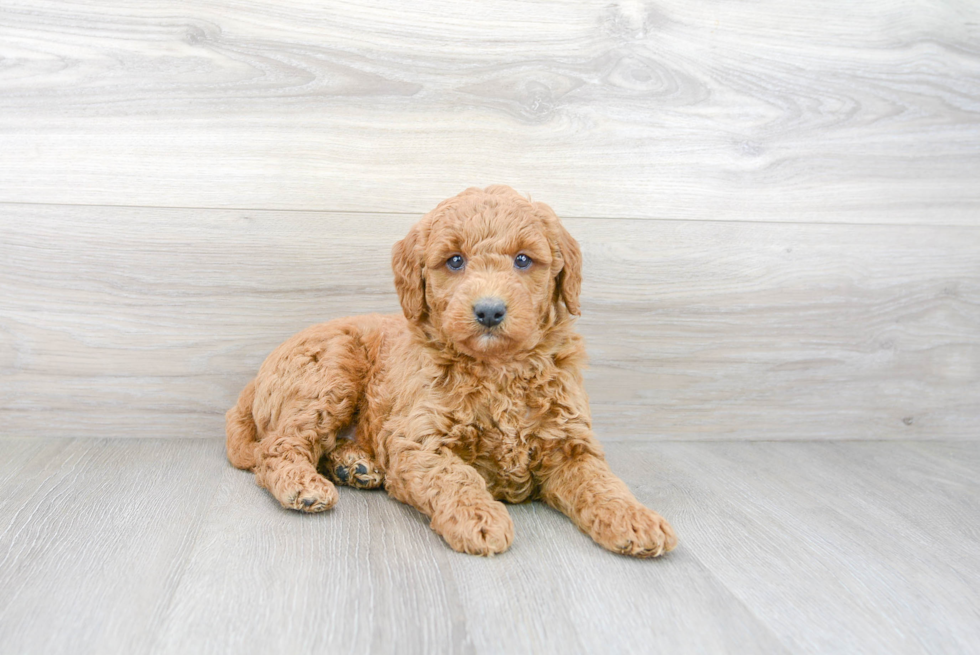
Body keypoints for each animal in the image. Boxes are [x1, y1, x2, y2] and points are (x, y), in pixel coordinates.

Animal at [229, 184, 672, 560]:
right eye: (455, 261)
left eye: (523, 259)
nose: (489, 311)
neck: (498, 370)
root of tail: (255, 381)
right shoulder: (420, 440)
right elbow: (453, 475)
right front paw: (479, 517)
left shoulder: (569, 443)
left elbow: (601, 482)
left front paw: (635, 518)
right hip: (331, 372)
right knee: (279, 444)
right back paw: (303, 486)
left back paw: (354, 465)